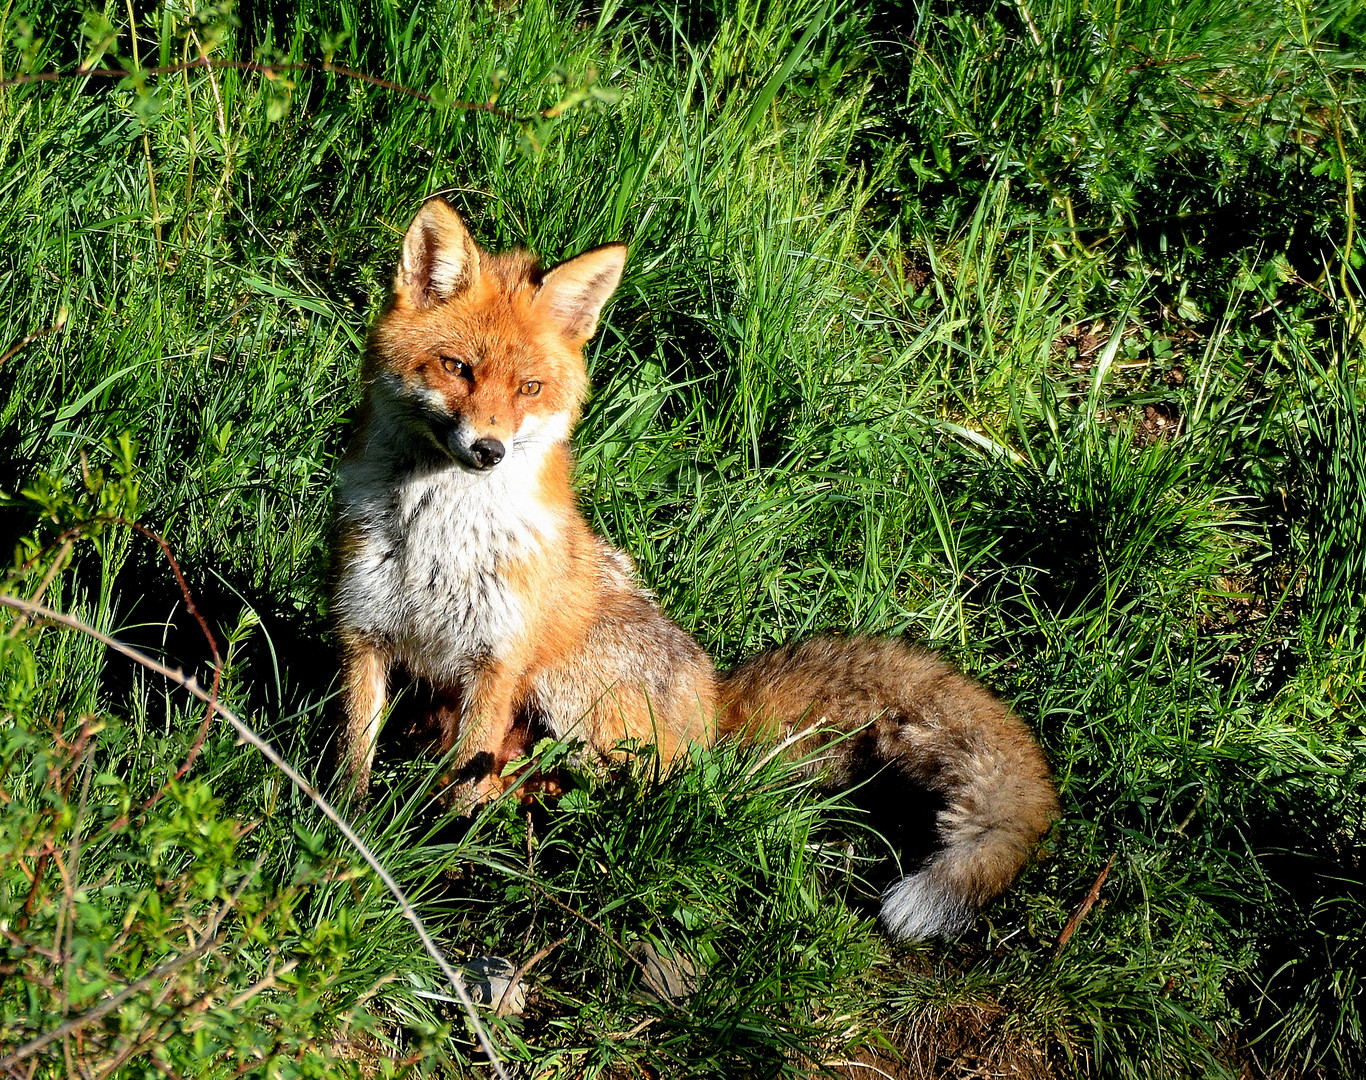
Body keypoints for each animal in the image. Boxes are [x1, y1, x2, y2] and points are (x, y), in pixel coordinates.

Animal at [330, 200, 1054, 939]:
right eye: (456, 367)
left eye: (529, 388)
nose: (488, 450)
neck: (436, 541)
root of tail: (714, 704)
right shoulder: (365, 633)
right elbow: (352, 756)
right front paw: (347, 837)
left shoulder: (496, 661)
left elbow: (461, 788)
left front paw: (442, 866)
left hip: (568, 699)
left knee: (600, 787)